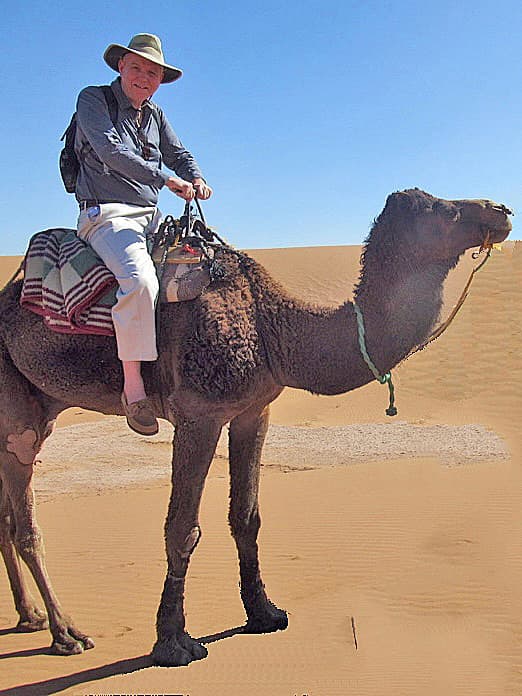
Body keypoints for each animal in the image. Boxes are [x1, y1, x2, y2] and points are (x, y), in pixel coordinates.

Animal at [0, 189, 512, 666]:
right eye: (441, 210)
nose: (501, 211)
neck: (274, 328)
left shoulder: (253, 410)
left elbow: (247, 517)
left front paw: (264, 613)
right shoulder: (199, 414)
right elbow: (181, 527)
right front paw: (173, 642)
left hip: (38, 409)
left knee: (8, 518)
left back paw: (31, 617)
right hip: (18, 419)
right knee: (27, 525)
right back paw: (66, 633)